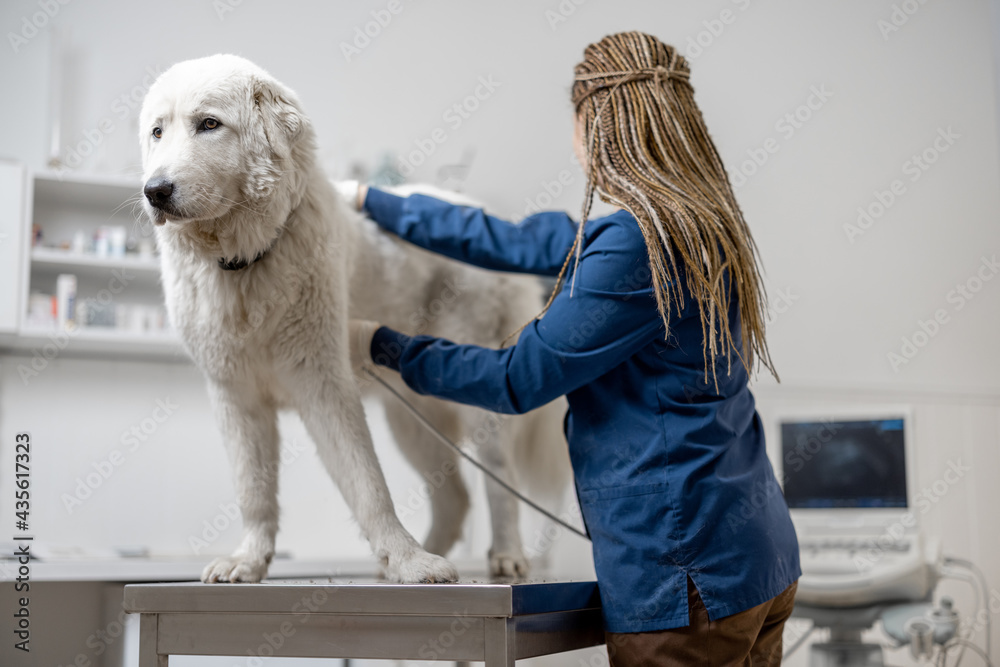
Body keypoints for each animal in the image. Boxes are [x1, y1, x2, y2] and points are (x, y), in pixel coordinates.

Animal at [139, 54, 572, 580]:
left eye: (208, 124)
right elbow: (254, 491)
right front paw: (249, 560)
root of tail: (487, 214)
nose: (154, 191)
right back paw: (427, 556)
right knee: (455, 498)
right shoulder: (237, 399)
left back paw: (504, 555)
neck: (244, 264)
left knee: (499, 482)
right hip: (413, 416)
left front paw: (406, 559)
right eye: (157, 131)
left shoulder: (326, 388)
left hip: (481, 396)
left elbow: (368, 485)